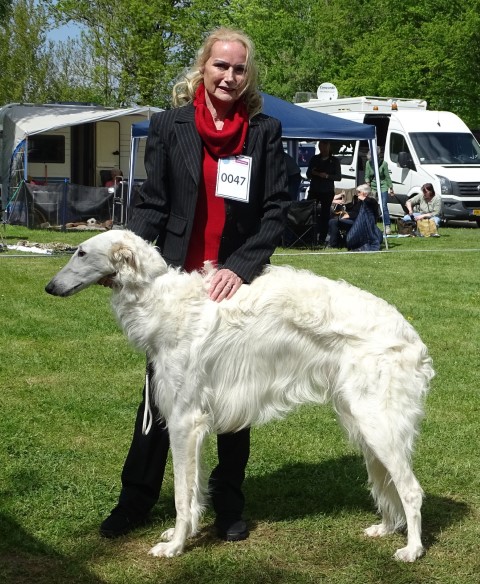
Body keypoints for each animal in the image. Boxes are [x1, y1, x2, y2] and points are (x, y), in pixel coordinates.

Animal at [45, 229, 434, 562]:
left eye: (81, 252)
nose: (49, 287)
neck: (162, 301)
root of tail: (412, 337)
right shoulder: (192, 423)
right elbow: (194, 490)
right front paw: (183, 534)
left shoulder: (184, 421)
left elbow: (182, 494)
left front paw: (175, 546)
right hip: (364, 423)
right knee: (388, 484)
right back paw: (385, 528)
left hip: (378, 423)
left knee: (411, 490)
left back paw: (412, 549)